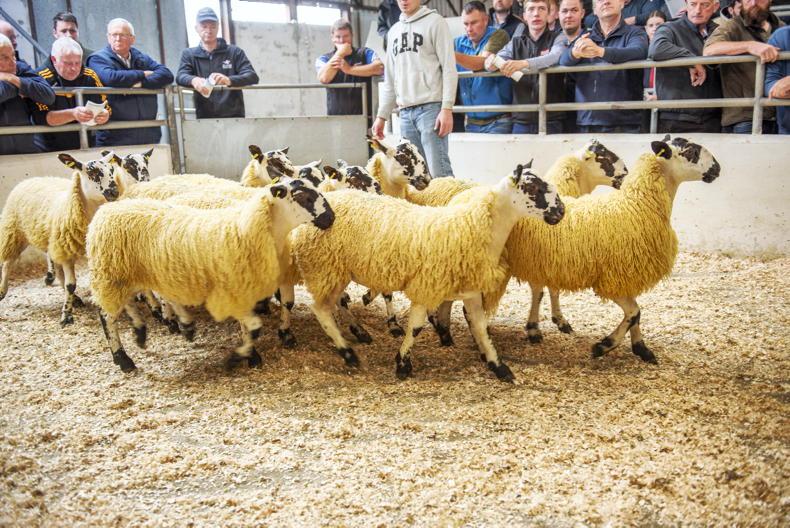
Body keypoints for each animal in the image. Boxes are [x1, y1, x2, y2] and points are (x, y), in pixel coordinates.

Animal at [0, 153, 118, 326]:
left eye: (112, 170)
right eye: (92, 171)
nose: (114, 192)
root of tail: (29, 179)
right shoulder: (66, 251)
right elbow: (71, 284)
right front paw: (67, 316)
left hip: (51, 241)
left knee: (55, 266)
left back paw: (74, 298)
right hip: (15, 232)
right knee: (8, 263)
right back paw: (2, 291)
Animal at [87, 178, 335, 372]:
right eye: (302, 196)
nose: (331, 218)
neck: (249, 230)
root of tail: (106, 211)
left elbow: (271, 314)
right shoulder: (235, 290)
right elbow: (253, 327)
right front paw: (242, 357)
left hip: (136, 274)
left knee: (137, 301)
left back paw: (152, 330)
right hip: (111, 273)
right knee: (106, 315)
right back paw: (123, 359)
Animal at [290, 163, 565, 382]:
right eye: (534, 188)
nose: (561, 211)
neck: (472, 226)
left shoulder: (470, 290)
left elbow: (480, 327)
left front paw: (498, 366)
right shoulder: (426, 286)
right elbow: (416, 328)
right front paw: (402, 364)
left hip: (335, 271)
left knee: (334, 304)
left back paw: (357, 333)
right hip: (324, 267)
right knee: (321, 310)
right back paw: (347, 352)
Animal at [503, 136, 720, 364]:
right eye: (691, 152)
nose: (717, 168)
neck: (637, 205)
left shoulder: (625, 274)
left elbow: (635, 314)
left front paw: (641, 348)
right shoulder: (610, 279)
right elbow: (634, 313)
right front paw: (604, 345)